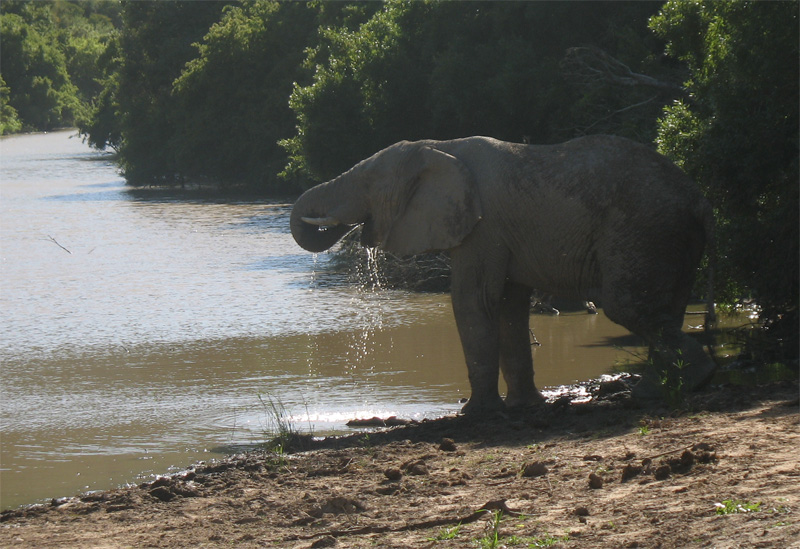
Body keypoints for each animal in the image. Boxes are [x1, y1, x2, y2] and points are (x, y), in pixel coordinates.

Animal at [290, 135, 716, 413]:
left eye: (368, 184)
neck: (441, 145)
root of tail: (699, 198)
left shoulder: (483, 228)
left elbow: (473, 300)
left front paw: (474, 413)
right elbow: (511, 307)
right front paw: (524, 405)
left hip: (643, 229)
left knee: (627, 305)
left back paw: (675, 386)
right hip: (669, 237)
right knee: (667, 306)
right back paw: (663, 387)